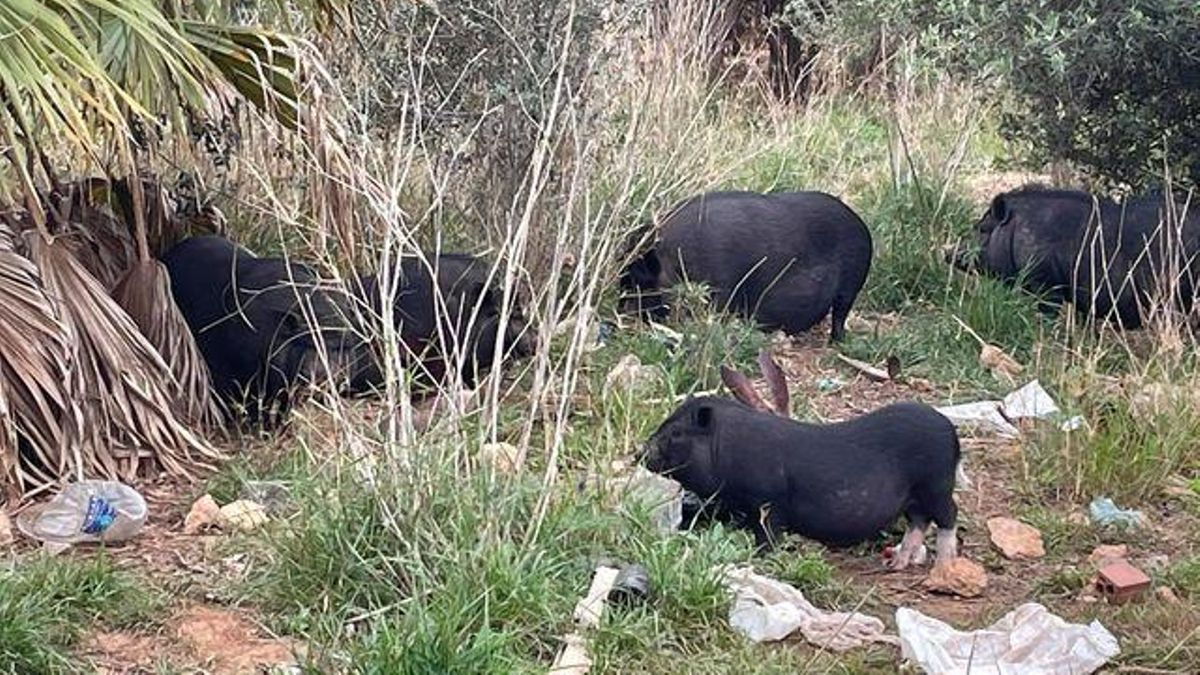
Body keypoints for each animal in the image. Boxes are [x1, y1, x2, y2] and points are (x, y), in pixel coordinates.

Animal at [619, 190, 873, 341]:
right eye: (624, 283)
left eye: (642, 283)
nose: (622, 315)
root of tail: (861, 224)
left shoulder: (721, 288)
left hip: (853, 281)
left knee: (840, 313)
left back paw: (837, 341)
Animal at [643, 353, 960, 566]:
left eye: (676, 433)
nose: (640, 452)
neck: (726, 446)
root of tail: (950, 432)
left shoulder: (768, 501)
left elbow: (768, 535)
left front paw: (759, 558)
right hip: (916, 496)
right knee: (919, 521)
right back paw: (896, 564)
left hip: (936, 484)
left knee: (948, 516)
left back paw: (943, 568)